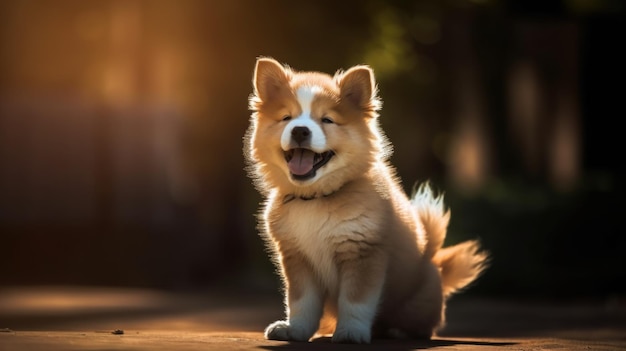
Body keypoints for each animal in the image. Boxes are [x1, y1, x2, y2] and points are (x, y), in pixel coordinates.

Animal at [244, 57, 488, 344]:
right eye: (286, 118)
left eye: (327, 120)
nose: (300, 130)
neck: (317, 197)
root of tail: (436, 264)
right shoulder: (297, 257)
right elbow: (302, 302)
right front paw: (296, 330)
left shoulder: (362, 253)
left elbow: (356, 301)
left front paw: (350, 332)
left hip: (418, 301)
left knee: (424, 325)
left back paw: (398, 331)